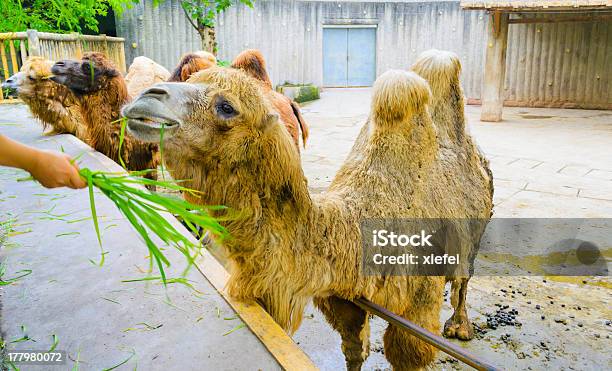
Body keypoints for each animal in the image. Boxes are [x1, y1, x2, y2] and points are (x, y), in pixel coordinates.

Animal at [120, 65, 492, 370]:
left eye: (226, 107)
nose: (146, 97)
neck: (350, 233)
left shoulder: (417, 304)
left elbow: (408, 352)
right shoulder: (343, 298)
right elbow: (353, 349)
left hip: (475, 231)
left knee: (462, 279)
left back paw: (460, 327)